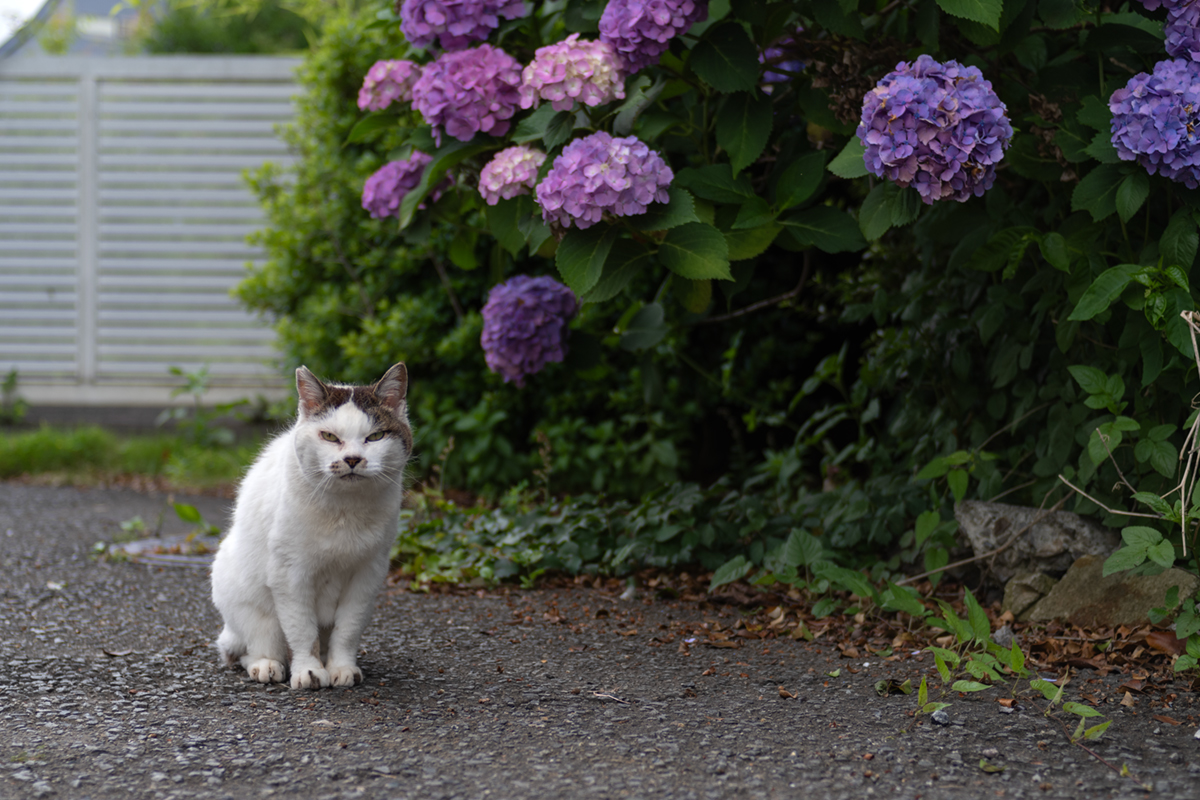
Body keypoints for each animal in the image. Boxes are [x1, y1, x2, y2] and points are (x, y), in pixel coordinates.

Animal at [208, 362, 410, 690]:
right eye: (329, 436)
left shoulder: (367, 575)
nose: (352, 459)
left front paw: (341, 667)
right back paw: (267, 666)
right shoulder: (290, 574)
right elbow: (302, 630)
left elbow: (348, 629)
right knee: (253, 648)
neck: (344, 511)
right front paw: (309, 671)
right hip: (248, 603)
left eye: (376, 436)